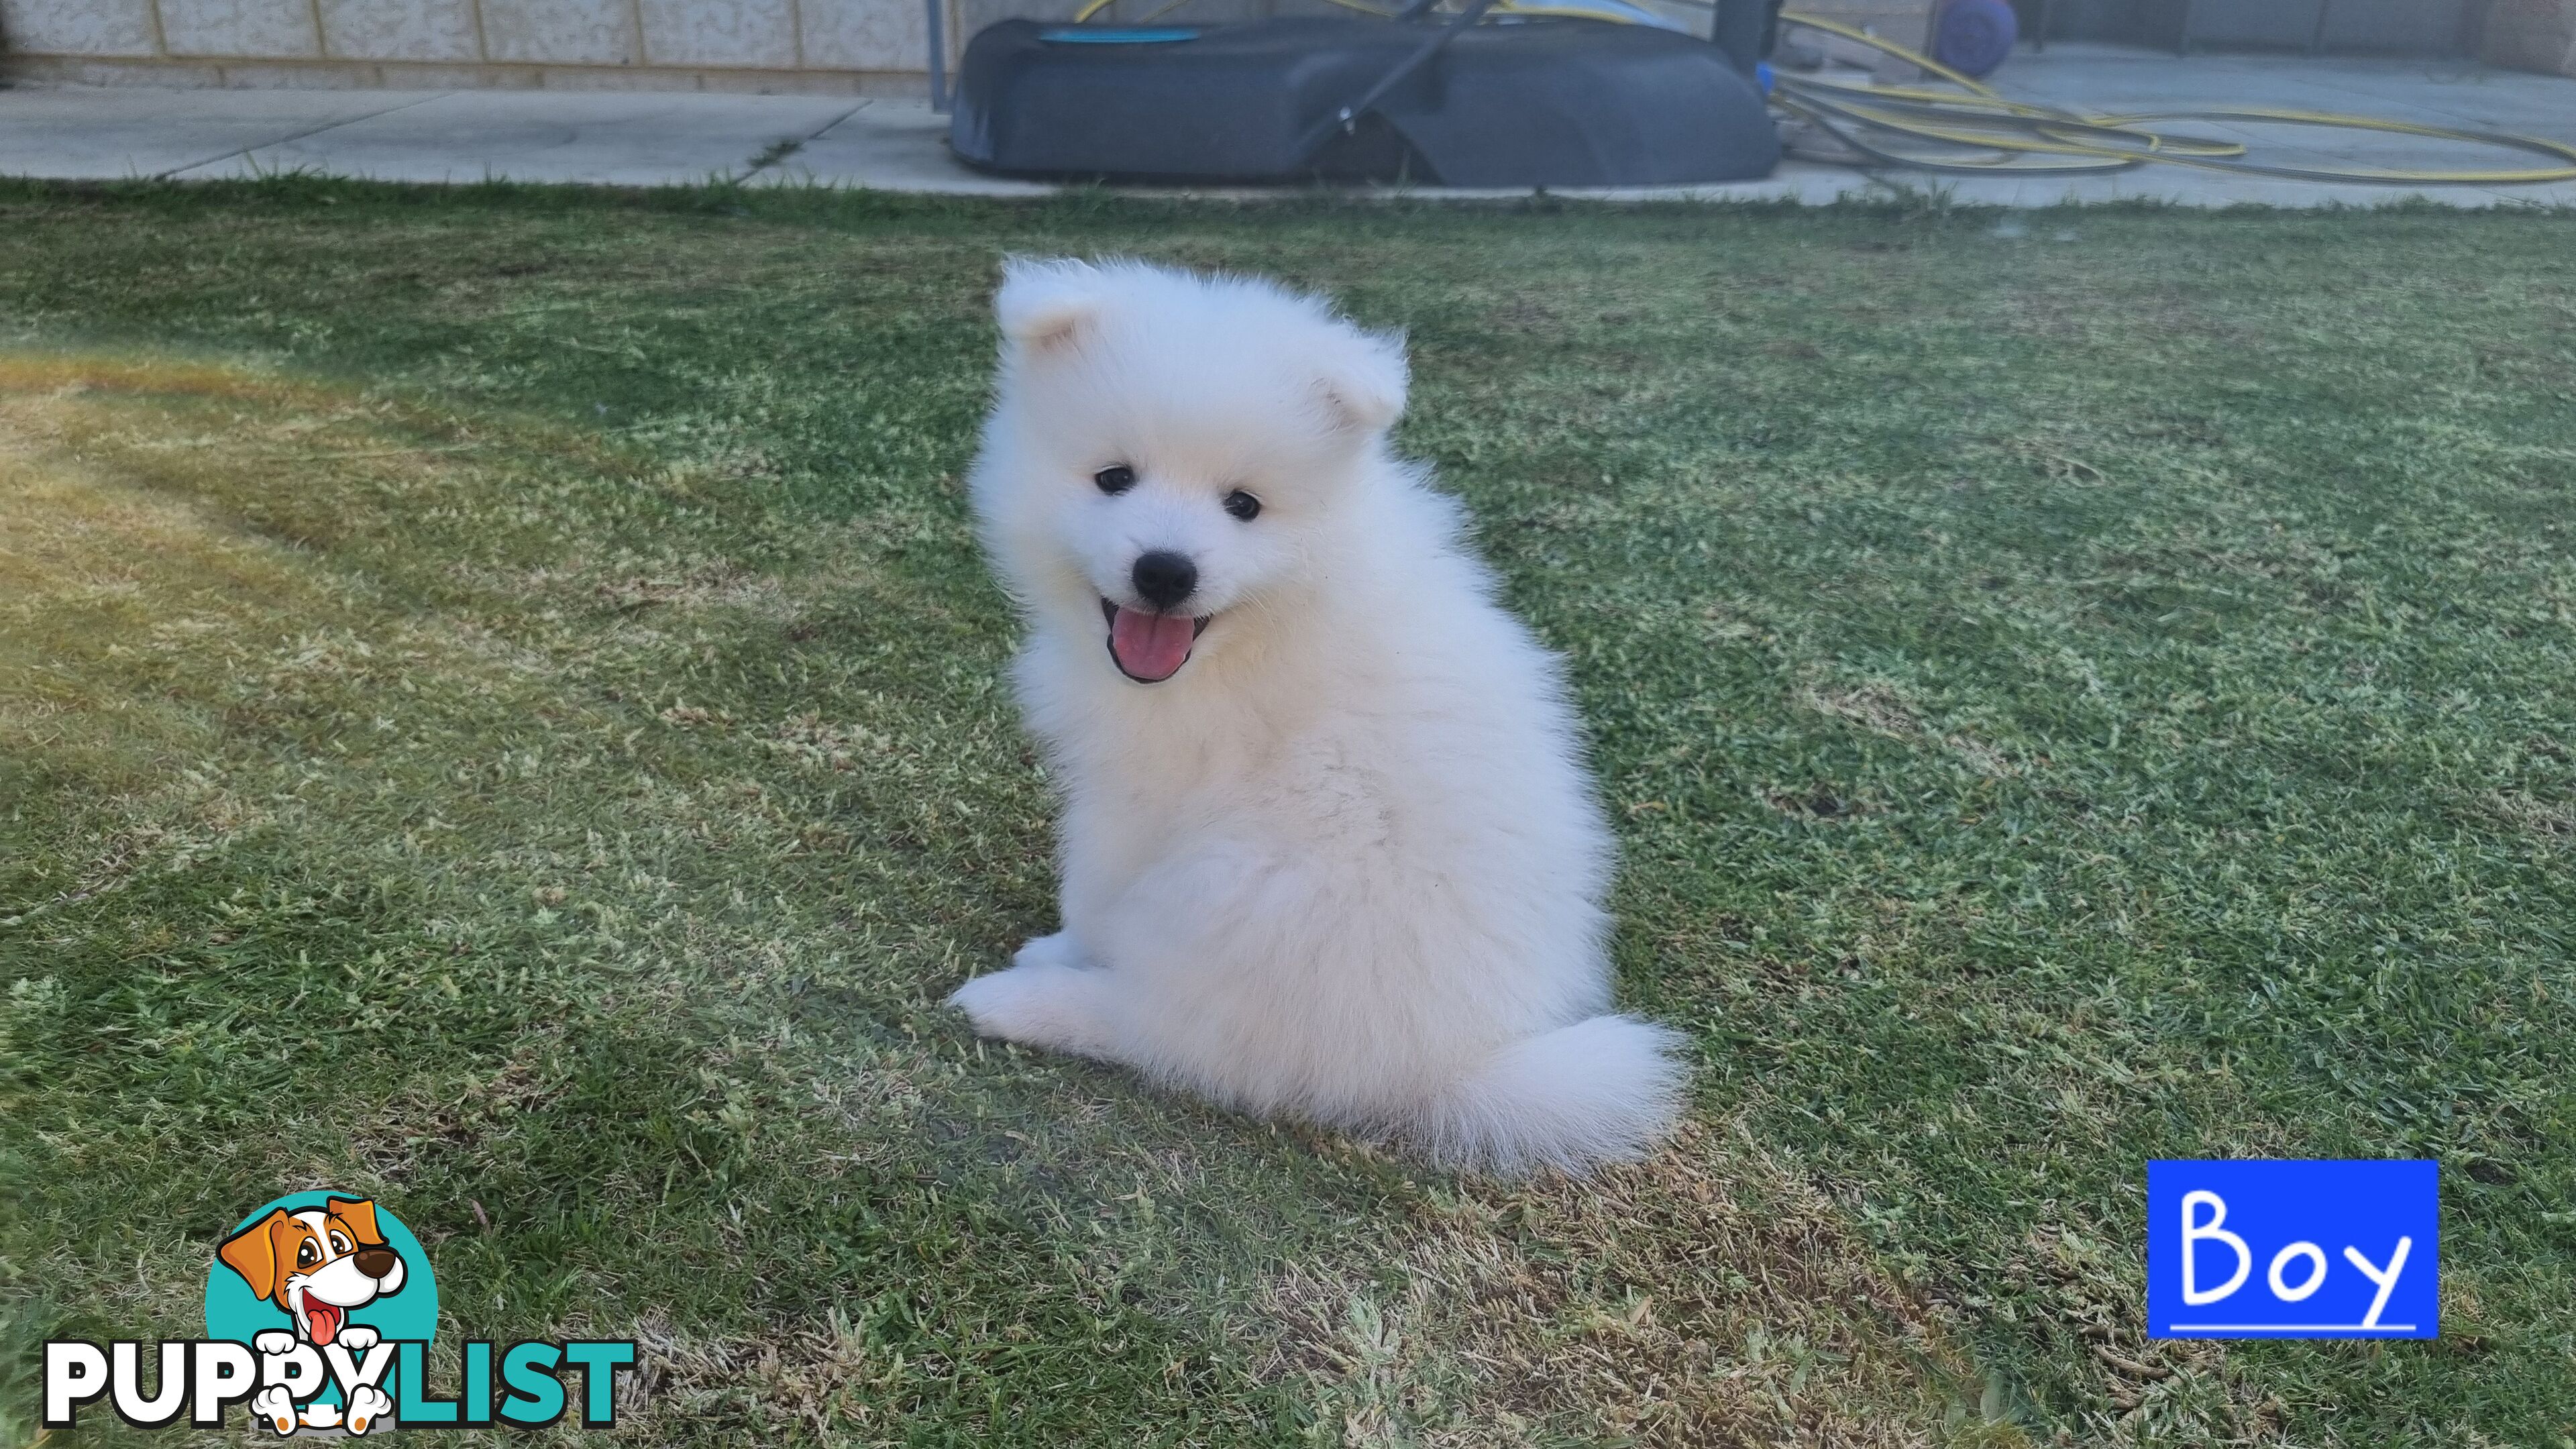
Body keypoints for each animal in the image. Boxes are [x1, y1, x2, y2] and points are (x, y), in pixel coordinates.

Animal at [958, 259, 1679, 1175]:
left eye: (1244, 505)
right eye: (1113, 478)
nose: (1165, 571)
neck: (1258, 634)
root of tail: (1448, 1065)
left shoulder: (1143, 799)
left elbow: (1093, 892)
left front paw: (1062, 948)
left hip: (1239, 893)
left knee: (1174, 1031)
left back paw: (1021, 1002)